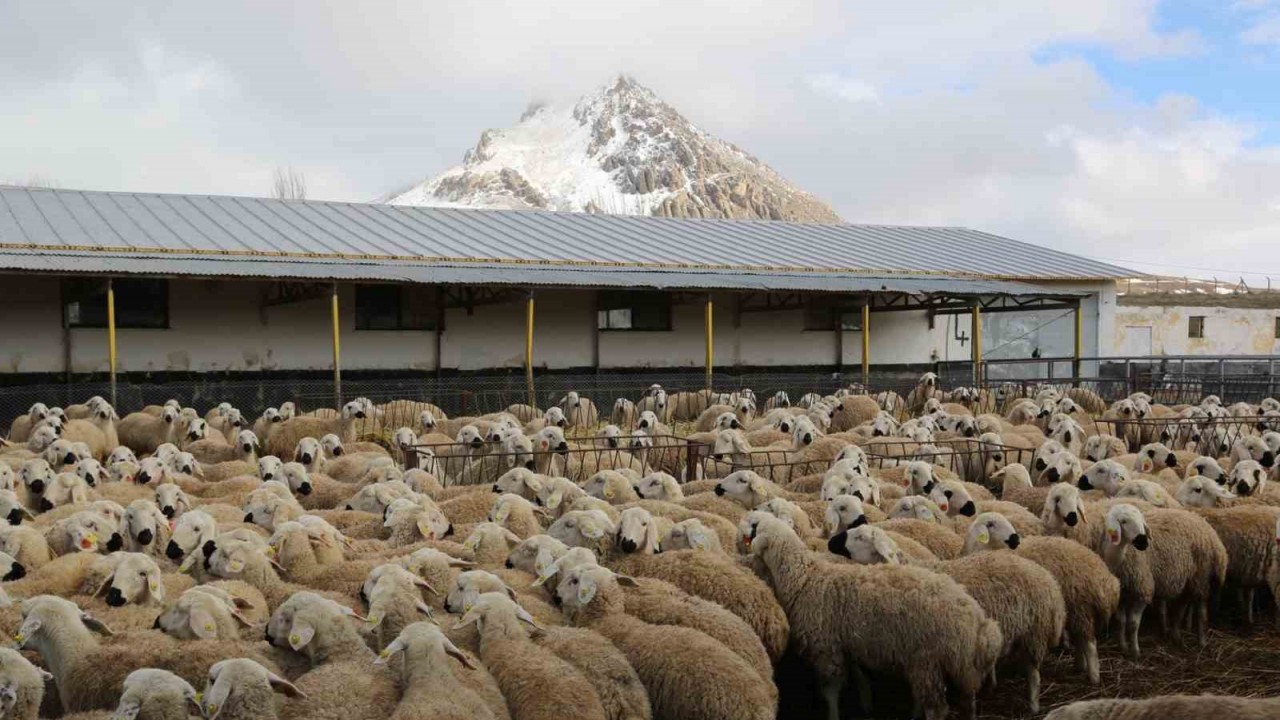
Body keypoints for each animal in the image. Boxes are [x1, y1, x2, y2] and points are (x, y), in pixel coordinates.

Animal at [742, 509, 998, 717]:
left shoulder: (826, 648)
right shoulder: (854, 645)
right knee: (968, 699)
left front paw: (833, 715)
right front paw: (866, 705)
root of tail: (976, 621)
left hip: (927, 660)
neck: (804, 577)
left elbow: (831, 692)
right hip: (961, 668)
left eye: (755, 526)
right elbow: (861, 678)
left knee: (937, 709)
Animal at [834, 517, 1064, 707]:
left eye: (860, 537)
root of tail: (1049, 581)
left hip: (1035, 632)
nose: (831, 541)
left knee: (1034, 674)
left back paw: (1033, 705)